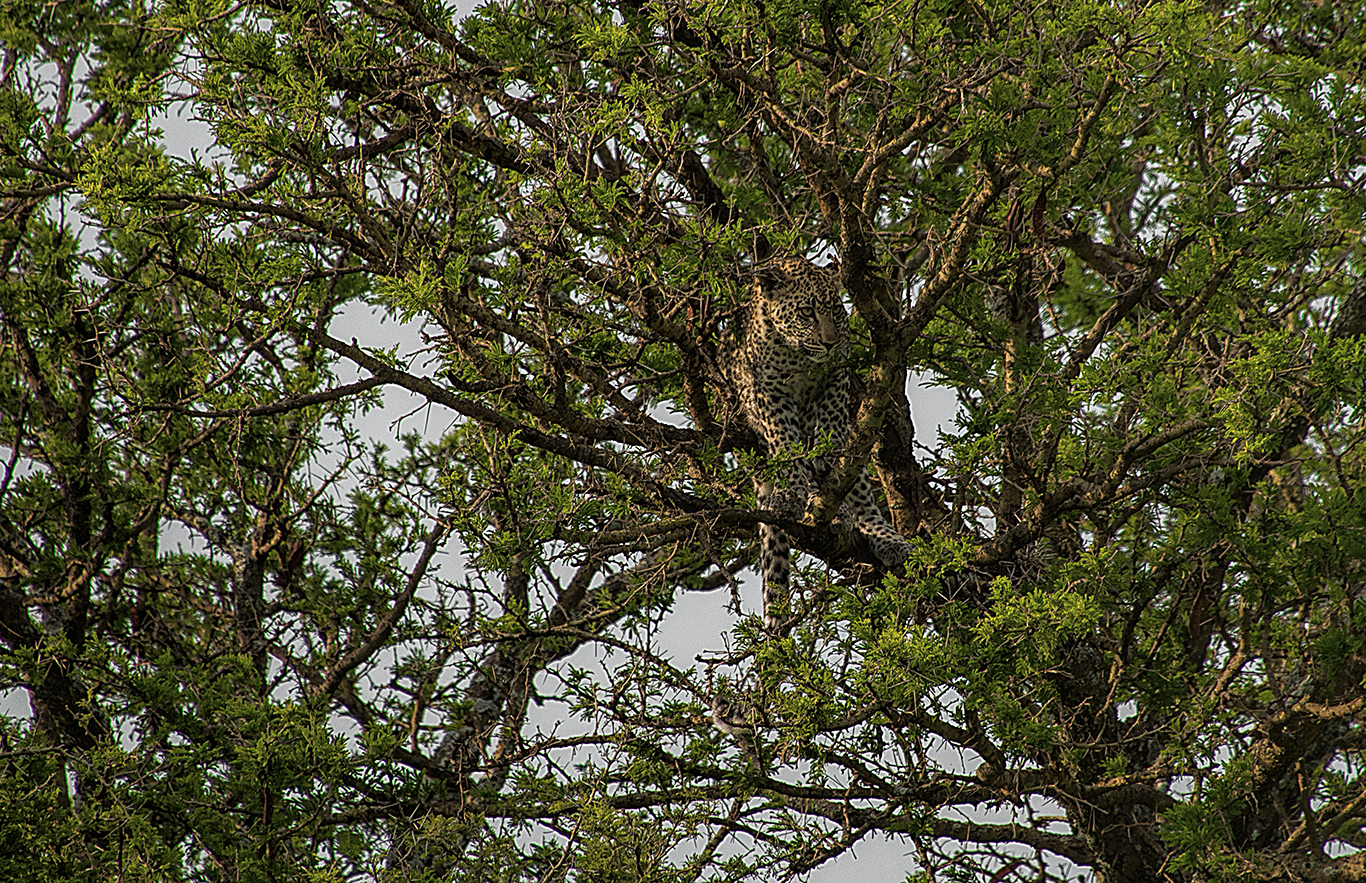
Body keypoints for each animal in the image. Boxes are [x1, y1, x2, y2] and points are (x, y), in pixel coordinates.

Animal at [719, 256, 914, 631]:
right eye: (807, 312)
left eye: (837, 310)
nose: (829, 342)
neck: (797, 356)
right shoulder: (768, 394)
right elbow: (788, 447)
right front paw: (795, 492)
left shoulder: (835, 377)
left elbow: (833, 422)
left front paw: (829, 449)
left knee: (862, 498)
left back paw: (883, 535)